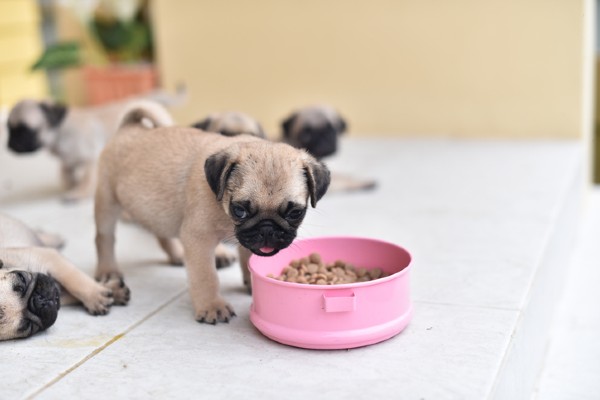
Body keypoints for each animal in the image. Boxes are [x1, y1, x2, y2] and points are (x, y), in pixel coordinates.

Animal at [1, 212, 129, 340]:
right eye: (28, 326)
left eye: (22, 279)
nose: (41, 300)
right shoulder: (58, 292)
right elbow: (72, 294)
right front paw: (107, 294)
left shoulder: (48, 258)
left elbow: (73, 278)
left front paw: (100, 292)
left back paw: (52, 238)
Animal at [4, 85, 186, 202]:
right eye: (9, 129)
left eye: (25, 130)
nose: (10, 145)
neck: (60, 132)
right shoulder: (67, 163)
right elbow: (66, 175)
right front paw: (70, 187)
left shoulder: (90, 161)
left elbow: (86, 180)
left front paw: (78, 193)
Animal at [94, 100, 330, 324]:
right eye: (239, 210)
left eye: (295, 213)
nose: (267, 229)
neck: (223, 210)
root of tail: (129, 127)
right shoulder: (198, 238)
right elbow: (206, 276)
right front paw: (212, 306)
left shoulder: (246, 239)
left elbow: (247, 258)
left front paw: (251, 284)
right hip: (108, 201)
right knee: (104, 238)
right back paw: (107, 271)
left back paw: (177, 254)